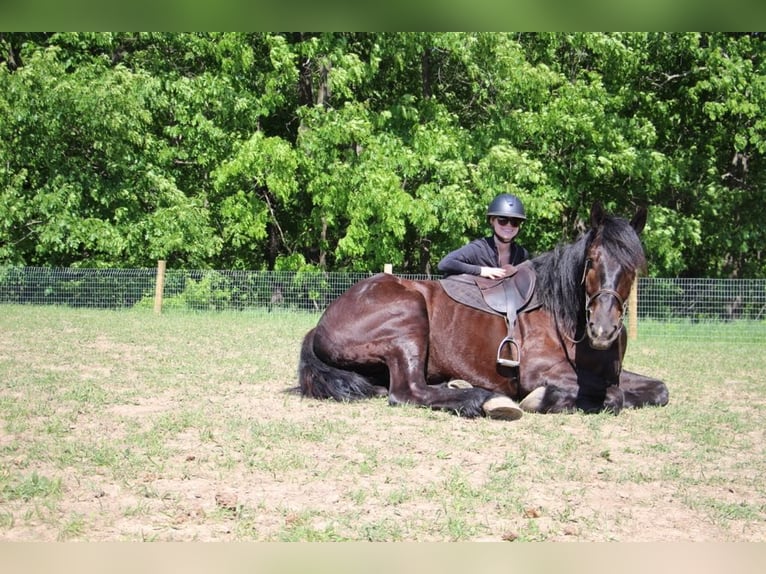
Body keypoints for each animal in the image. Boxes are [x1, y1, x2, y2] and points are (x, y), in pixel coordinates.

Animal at [296, 203, 669, 420]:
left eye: (633, 266)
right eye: (591, 261)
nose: (602, 329)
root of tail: (321, 322)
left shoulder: (612, 373)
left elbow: (657, 390)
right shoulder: (541, 372)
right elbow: (612, 397)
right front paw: (541, 400)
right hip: (408, 319)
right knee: (407, 392)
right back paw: (484, 399)